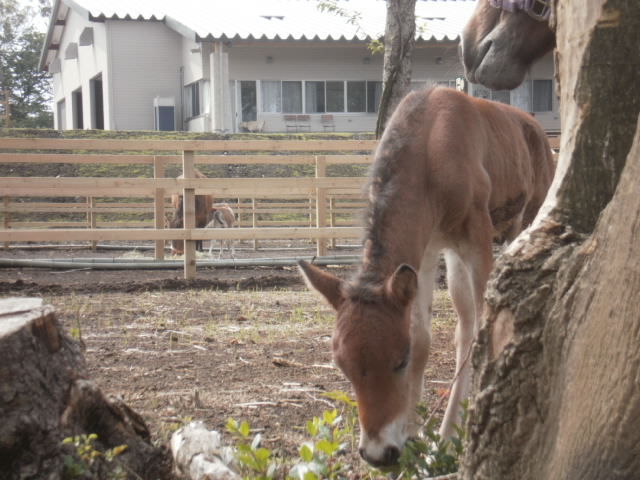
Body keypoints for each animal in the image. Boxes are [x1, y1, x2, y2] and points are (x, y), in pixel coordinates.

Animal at [298, 86, 555, 468]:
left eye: (398, 361)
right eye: (342, 365)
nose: (377, 454)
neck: (431, 155)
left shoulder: (477, 235)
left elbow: (484, 326)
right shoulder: (428, 250)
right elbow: (424, 336)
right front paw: (414, 435)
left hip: (524, 220)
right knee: (464, 320)